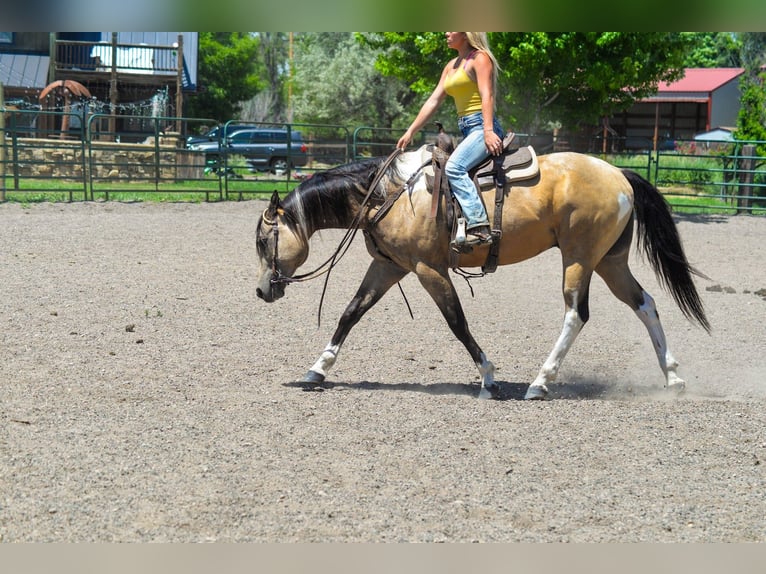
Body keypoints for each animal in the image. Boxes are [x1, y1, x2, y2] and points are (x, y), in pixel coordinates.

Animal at [255, 146, 712, 402]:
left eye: (262, 240)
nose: (262, 291)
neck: (392, 193)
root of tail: (619, 174)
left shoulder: (428, 269)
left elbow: (457, 323)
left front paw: (489, 379)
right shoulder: (389, 265)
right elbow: (351, 313)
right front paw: (317, 369)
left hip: (579, 259)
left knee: (576, 314)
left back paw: (539, 383)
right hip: (609, 261)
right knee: (644, 304)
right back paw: (673, 378)